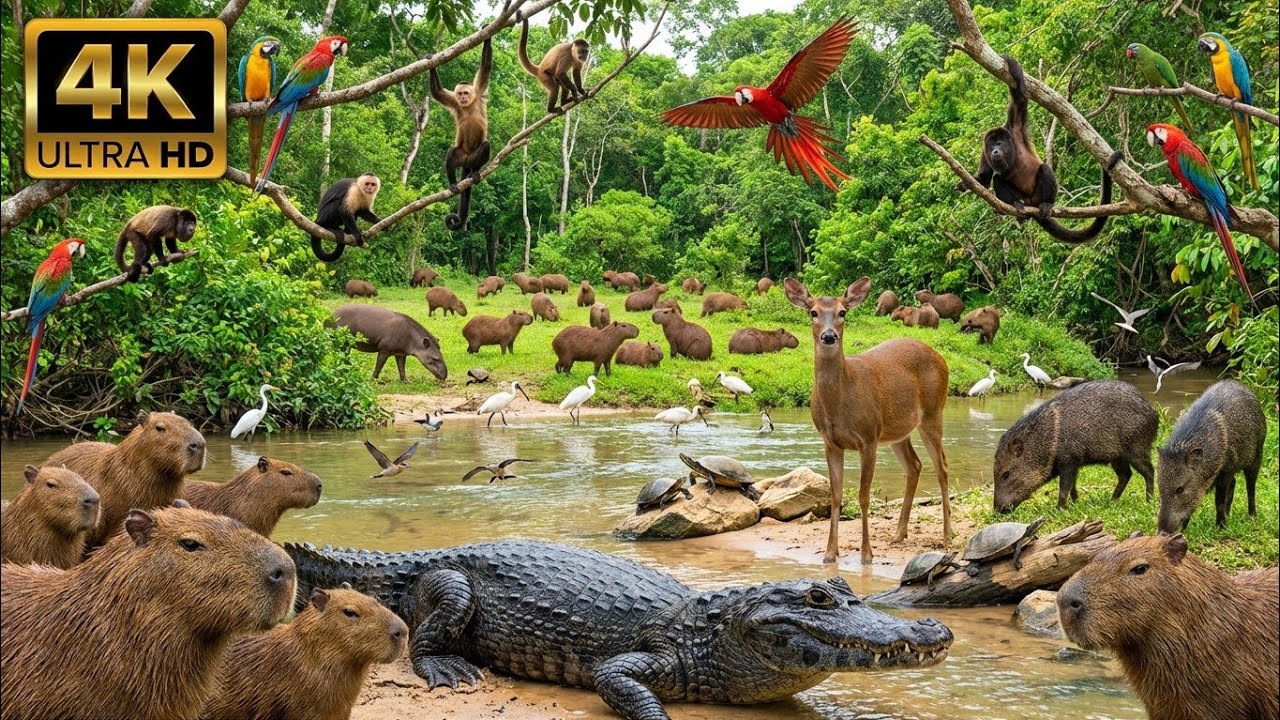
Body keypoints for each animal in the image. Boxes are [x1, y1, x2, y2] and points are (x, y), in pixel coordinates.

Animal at [430, 38, 492, 232]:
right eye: (460, 94)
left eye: (466, 92)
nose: (463, 97)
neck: (468, 104)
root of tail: (466, 160)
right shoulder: (455, 102)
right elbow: (437, 93)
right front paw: (430, 60)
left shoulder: (478, 93)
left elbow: (486, 67)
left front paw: (486, 35)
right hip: (461, 155)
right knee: (452, 153)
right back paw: (452, 183)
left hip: (472, 157)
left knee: (485, 146)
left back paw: (475, 172)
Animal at [784, 277, 951, 565]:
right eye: (813, 312)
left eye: (843, 312)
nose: (829, 336)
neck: (839, 404)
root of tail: (942, 359)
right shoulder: (830, 442)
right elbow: (836, 496)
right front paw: (830, 554)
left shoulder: (868, 437)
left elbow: (863, 497)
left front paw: (866, 554)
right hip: (897, 430)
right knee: (915, 465)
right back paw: (899, 534)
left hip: (932, 412)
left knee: (942, 467)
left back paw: (947, 537)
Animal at [965, 55, 1122, 244]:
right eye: (991, 144)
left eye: (1000, 143)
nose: (995, 151)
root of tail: (1032, 204)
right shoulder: (984, 152)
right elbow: (985, 179)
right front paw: (965, 184)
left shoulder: (1014, 127)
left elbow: (1019, 95)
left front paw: (1007, 59)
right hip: (1025, 200)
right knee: (998, 179)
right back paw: (1017, 206)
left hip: (1038, 196)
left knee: (1044, 169)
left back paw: (1047, 203)